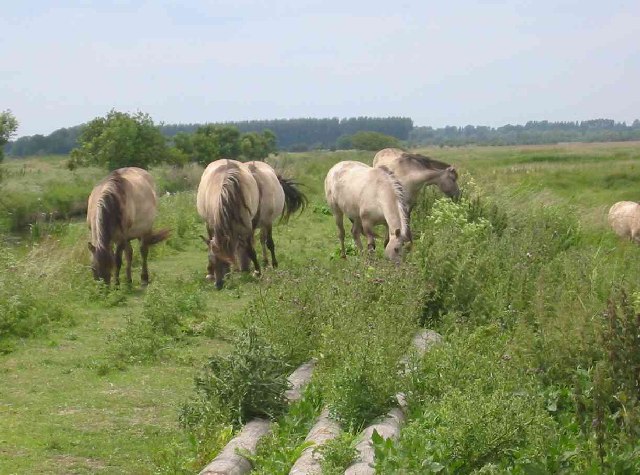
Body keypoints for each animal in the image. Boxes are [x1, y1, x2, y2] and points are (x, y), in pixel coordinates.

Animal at [198, 159, 262, 290]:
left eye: (224, 261)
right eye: (211, 259)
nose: (218, 285)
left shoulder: (246, 229)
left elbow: (250, 250)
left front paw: (257, 272)